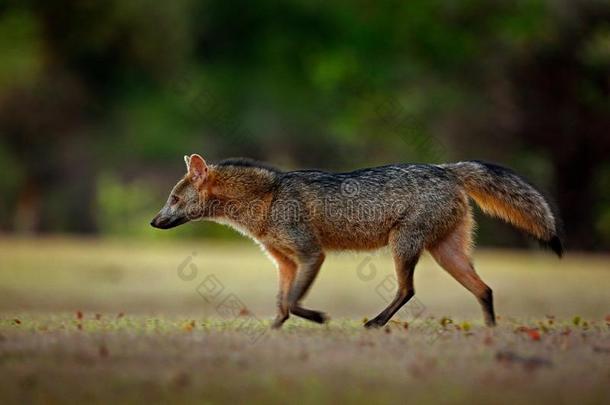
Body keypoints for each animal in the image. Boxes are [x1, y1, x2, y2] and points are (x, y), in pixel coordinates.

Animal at [151, 154, 560, 328]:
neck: (268, 198)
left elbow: (294, 301)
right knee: (485, 289)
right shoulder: (285, 262)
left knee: (408, 290)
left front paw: (317, 317)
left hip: (404, 246)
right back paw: (491, 333)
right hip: (446, 254)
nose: (153, 221)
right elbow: (282, 303)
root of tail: (446, 168)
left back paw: (376, 323)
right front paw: (274, 330)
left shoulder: (311, 254)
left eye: (173, 199)